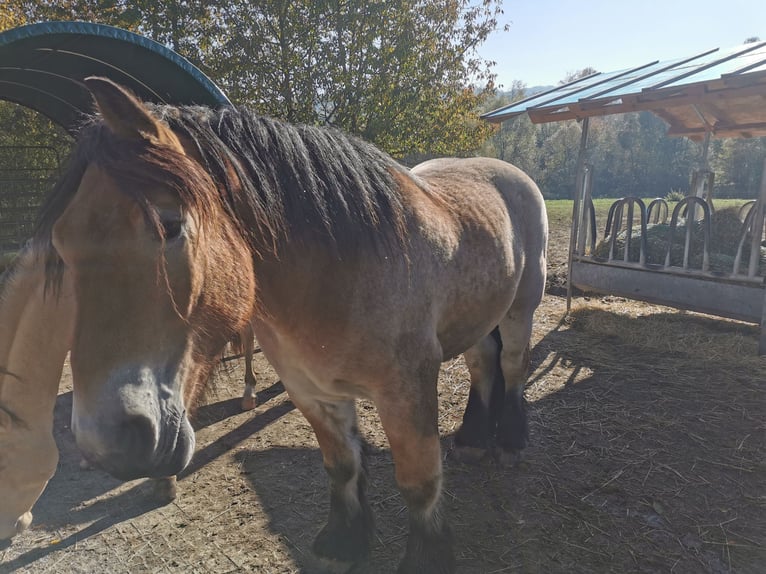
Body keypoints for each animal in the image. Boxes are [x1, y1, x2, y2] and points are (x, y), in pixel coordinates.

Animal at [39, 77, 548, 574]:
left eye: (170, 224)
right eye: (61, 242)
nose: (106, 442)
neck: (342, 273)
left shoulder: (407, 391)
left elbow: (418, 482)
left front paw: (426, 559)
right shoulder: (311, 392)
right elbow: (341, 466)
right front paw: (342, 542)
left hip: (521, 309)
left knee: (513, 366)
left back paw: (509, 442)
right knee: (483, 365)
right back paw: (472, 440)